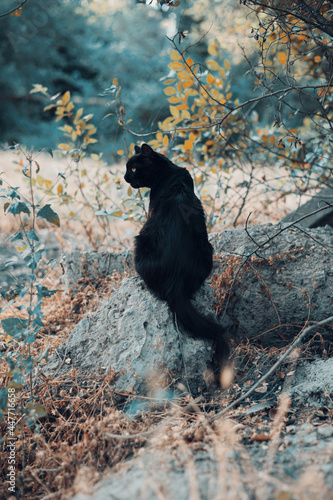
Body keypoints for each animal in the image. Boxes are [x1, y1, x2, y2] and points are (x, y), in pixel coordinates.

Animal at [123, 143, 230, 366]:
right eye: (127, 168)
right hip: (208, 252)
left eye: (134, 169)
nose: (125, 177)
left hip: (140, 242)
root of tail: (175, 282)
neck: (168, 172)